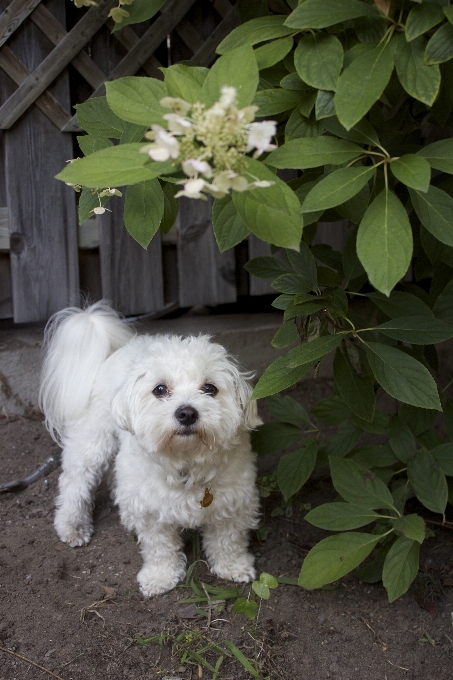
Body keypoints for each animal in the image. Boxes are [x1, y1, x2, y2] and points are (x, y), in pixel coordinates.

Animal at [38, 302, 262, 596]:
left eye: (210, 388)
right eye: (160, 389)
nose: (186, 413)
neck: (185, 462)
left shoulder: (234, 501)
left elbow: (228, 539)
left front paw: (232, 566)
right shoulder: (149, 511)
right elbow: (159, 546)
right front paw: (160, 576)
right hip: (93, 439)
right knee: (75, 480)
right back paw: (72, 524)